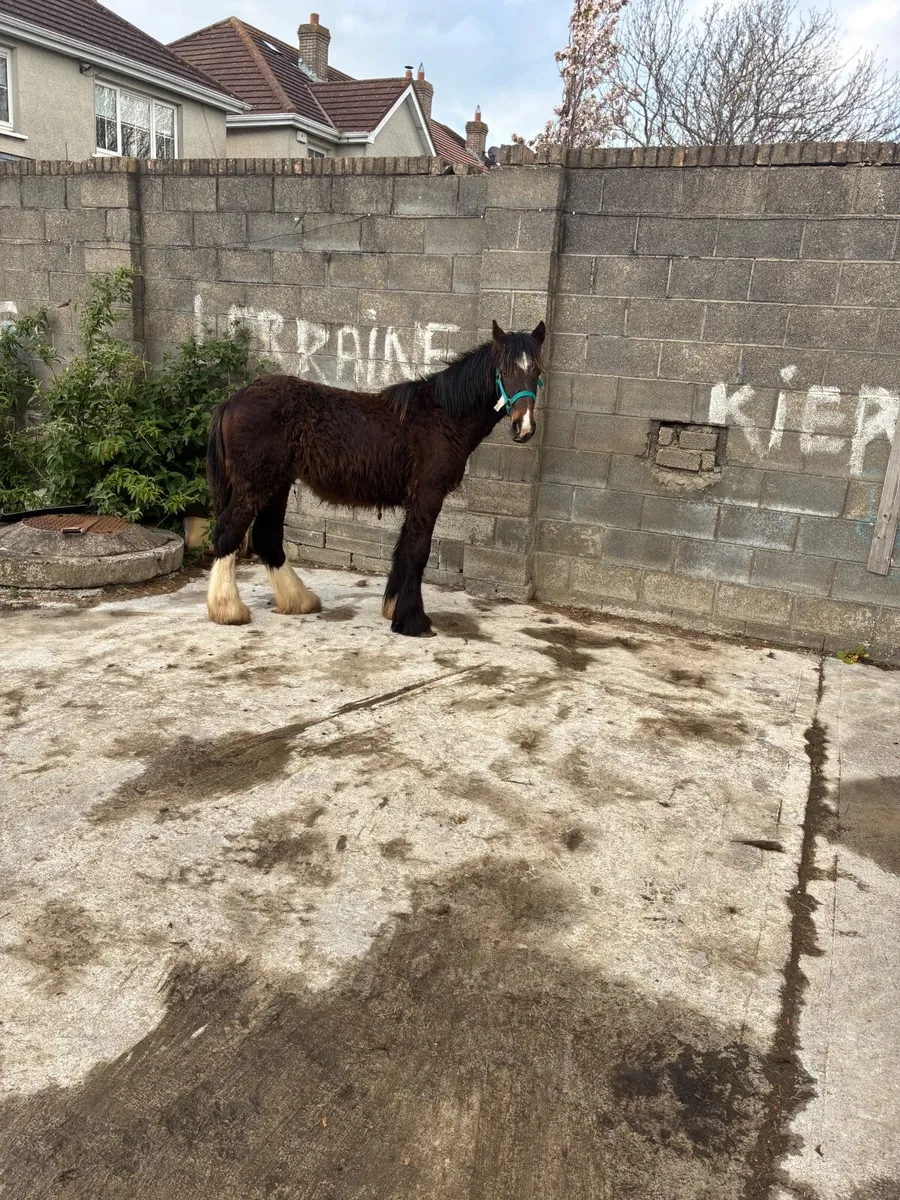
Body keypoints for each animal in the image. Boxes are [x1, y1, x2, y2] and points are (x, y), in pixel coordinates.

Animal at [205, 320, 546, 637]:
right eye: (504, 370)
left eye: (537, 370)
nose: (524, 426)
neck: (443, 415)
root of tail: (232, 401)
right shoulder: (428, 494)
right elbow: (418, 551)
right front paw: (412, 620)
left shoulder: (417, 499)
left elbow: (404, 549)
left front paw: (394, 608)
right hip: (256, 485)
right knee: (227, 532)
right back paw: (228, 609)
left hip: (277, 484)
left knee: (267, 537)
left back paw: (299, 601)